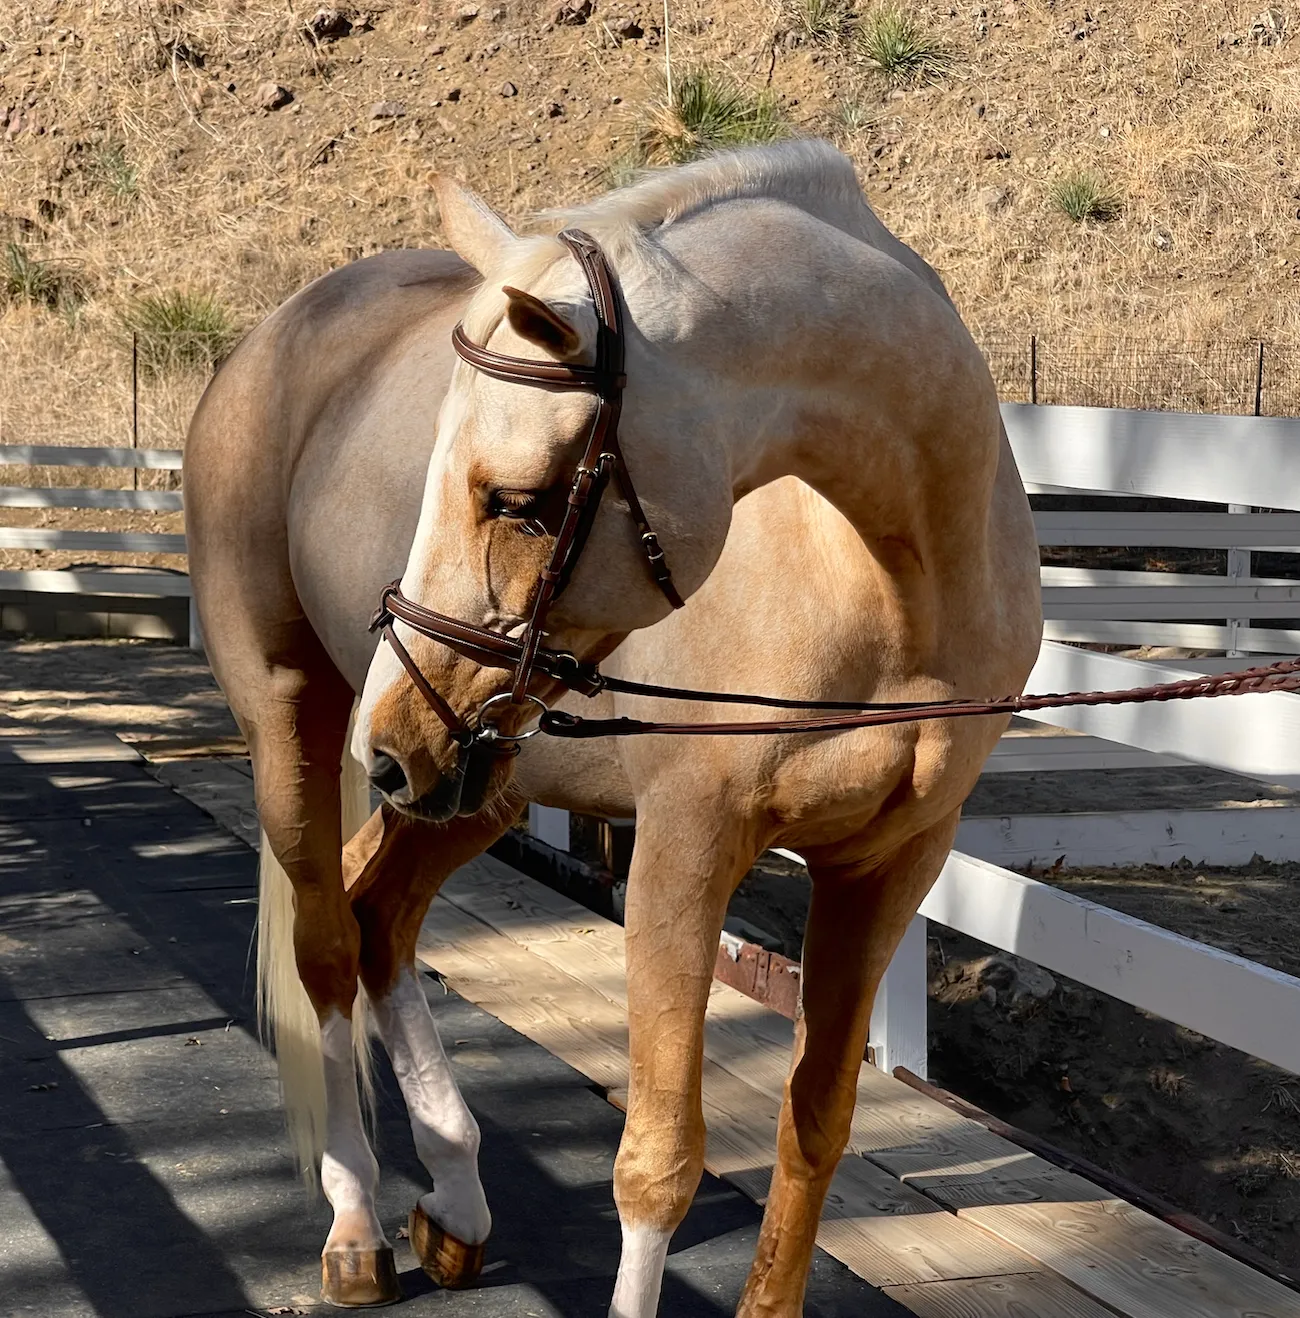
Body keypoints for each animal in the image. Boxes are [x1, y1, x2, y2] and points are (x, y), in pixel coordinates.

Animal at [181, 139, 1038, 1312]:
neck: (889, 584)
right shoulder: (684, 851)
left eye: (518, 500)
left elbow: (815, 1121)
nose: (390, 739)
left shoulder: (891, 863)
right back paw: (355, 1224)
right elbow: (658, 1162)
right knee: (325, 945)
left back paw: (455, 1201)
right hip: (301, 725)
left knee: (378, 916)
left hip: (479, 778)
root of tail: (271, 336)